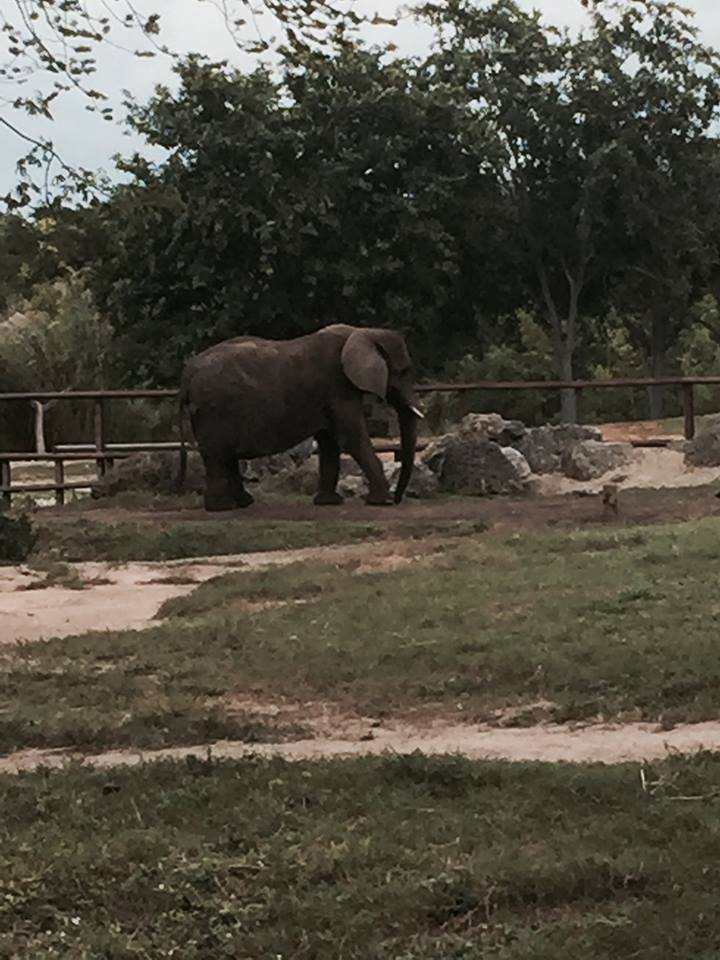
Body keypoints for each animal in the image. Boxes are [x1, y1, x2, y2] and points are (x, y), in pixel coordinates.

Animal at [179, 324, 424, 511]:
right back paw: (223, 508)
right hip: (215, 410)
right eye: (403, 371)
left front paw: (329, 503)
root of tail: (188, 374)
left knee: (225, 457)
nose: (398, 498)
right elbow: (351, 437)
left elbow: (329, 442)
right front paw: (381, 502)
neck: (364, 331)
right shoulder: (338, 386)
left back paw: (243, 503)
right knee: (218, 456)